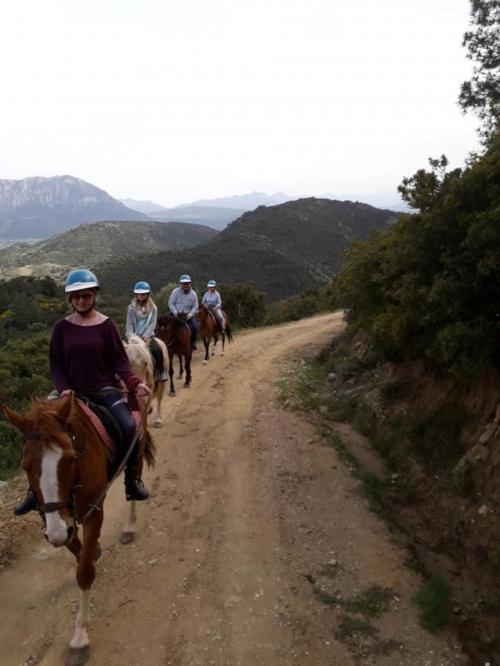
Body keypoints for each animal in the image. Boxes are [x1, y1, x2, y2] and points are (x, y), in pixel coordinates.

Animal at [0, 394, 154, 664]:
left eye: (71, 459)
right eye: (25, 466)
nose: (57, 533)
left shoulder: (92, 513)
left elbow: (83, 572)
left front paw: (80, 638)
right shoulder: (58, 523)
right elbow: (80, 552)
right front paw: (95, 551)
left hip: (137, 442)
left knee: (132, 482)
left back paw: (129, 525)